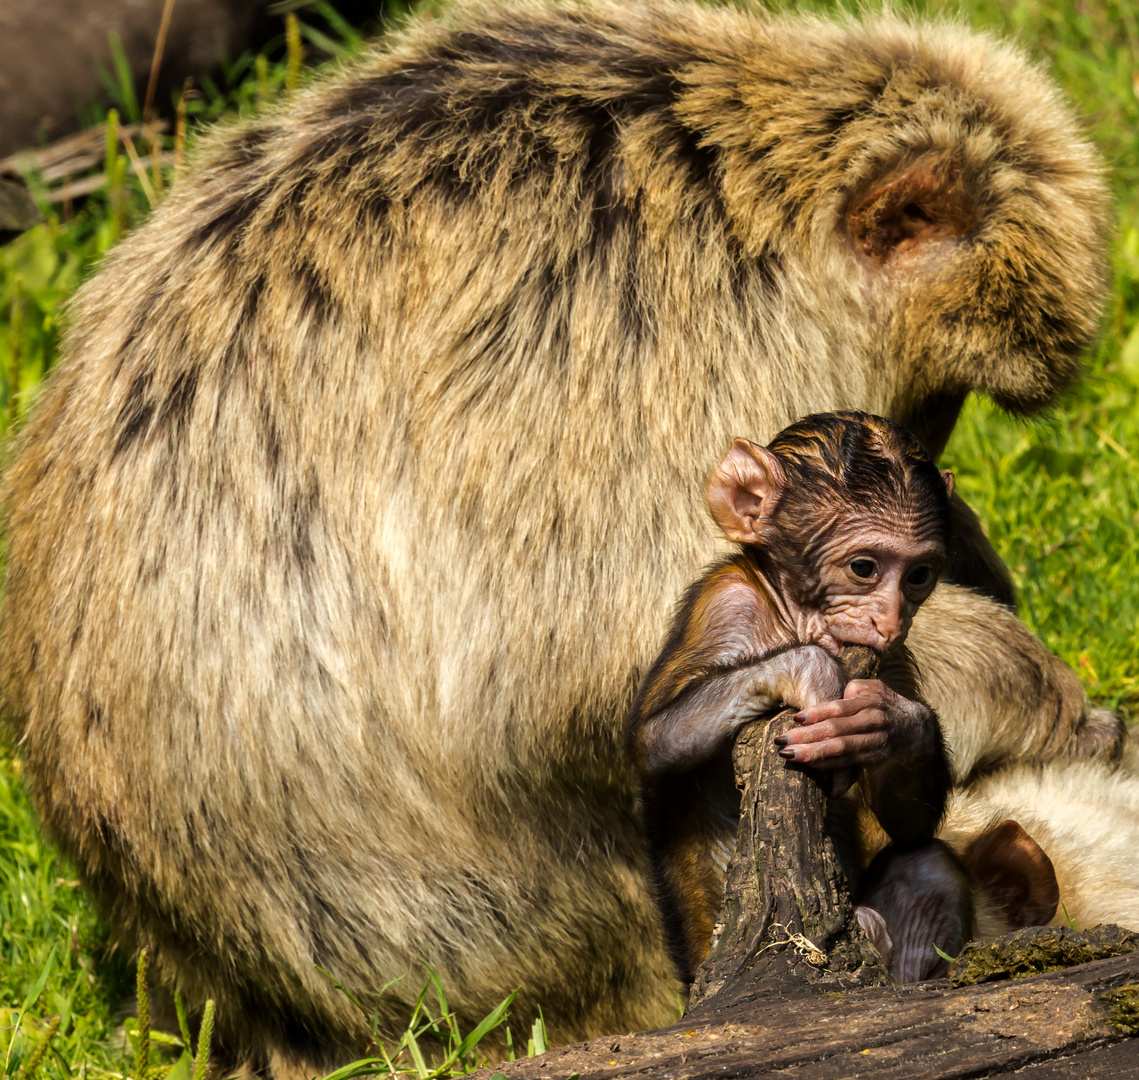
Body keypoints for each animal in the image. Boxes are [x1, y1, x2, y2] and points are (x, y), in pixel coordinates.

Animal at [628, 410, 956, 984]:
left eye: (919, 575)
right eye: (864, 568)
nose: (890, 620)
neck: (792, 615)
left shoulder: (889, 659)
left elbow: (910, 826)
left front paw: (890, 722)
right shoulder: (727, 606)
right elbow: (657, 742)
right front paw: (809, 670)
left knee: (927, 861)